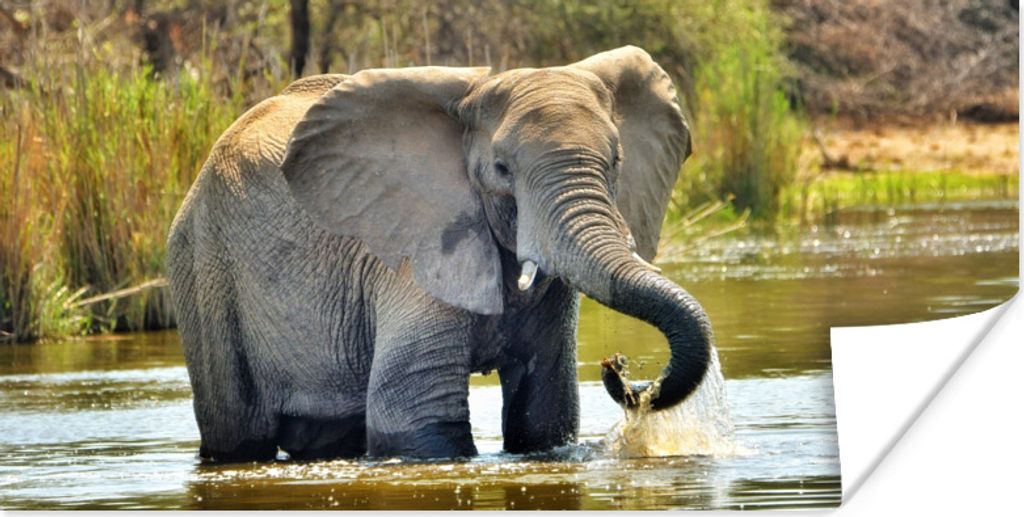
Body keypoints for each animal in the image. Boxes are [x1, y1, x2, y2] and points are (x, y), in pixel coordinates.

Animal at [167, 46, 713, 463]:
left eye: (616, 161)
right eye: (501, 169)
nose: (617, 366)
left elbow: (544, 413)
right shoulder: (413, 251)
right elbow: (415, 415)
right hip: (203, 266)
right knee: (236, 433)